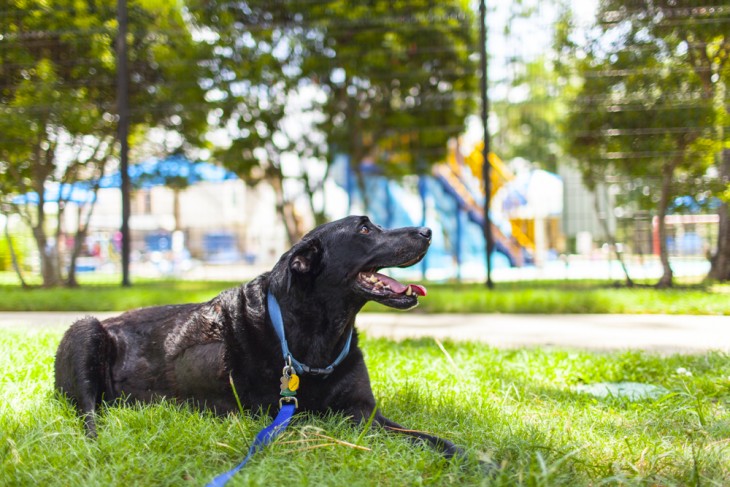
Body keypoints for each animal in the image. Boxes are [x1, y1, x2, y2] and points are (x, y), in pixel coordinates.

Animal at [55, 217, 460, 462]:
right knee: (88, 414)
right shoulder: (310, 416)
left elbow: (424, 435)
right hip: (86, 331)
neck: (316, 336)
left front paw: (461, 456)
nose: (427, 231)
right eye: (364, 230)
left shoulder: (364, 408)